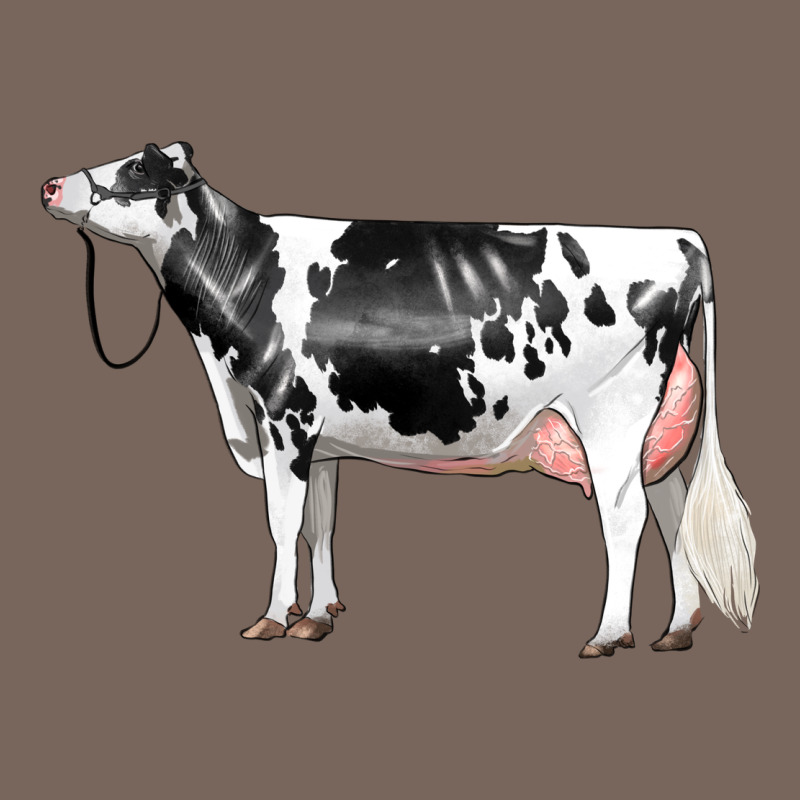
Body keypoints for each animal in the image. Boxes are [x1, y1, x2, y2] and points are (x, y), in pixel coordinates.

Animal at [42, 142, 758, 657]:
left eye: (136, 165)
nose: (49, 186)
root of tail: (679, 238)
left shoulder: (283, 416)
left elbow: (281, 522)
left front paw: (272, 618)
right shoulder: (320, 438)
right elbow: (320, 522)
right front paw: (318, 614)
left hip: (611, 419)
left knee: (625, 519)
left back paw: (608, 636)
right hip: (651, 433)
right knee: (670, 510)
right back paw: (678, 629)